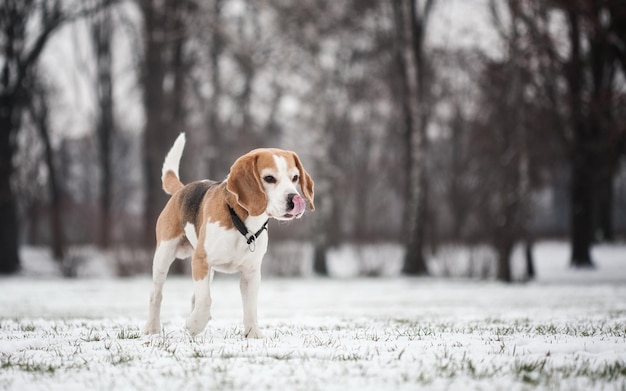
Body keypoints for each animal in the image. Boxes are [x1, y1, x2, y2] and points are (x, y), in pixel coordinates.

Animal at [144, 133, 314, 338]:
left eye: (295, 177)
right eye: (269, 178)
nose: (294, 199)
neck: (243, 223)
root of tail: (181, 190)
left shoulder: (251, 272)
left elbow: (250, 307)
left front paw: (253, 334)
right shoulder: (201, 260)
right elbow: (206, 300)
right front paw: (194, 324)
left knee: (195, 296)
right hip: (164, 254)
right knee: (156, 294)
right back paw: (153, 328)